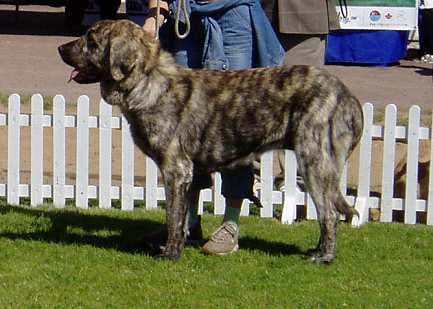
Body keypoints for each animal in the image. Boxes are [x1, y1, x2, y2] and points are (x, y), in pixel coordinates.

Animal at [57, 19, 362, 262]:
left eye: (91, 40)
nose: (60, 48)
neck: (149, 81)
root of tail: (349, 97)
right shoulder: (189, 171)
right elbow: (183, 213)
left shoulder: (176, 169)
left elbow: (173, 216)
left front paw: (170, 254)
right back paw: (317, 250)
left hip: (314, 163)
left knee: (329, 214)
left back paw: (324, 257)